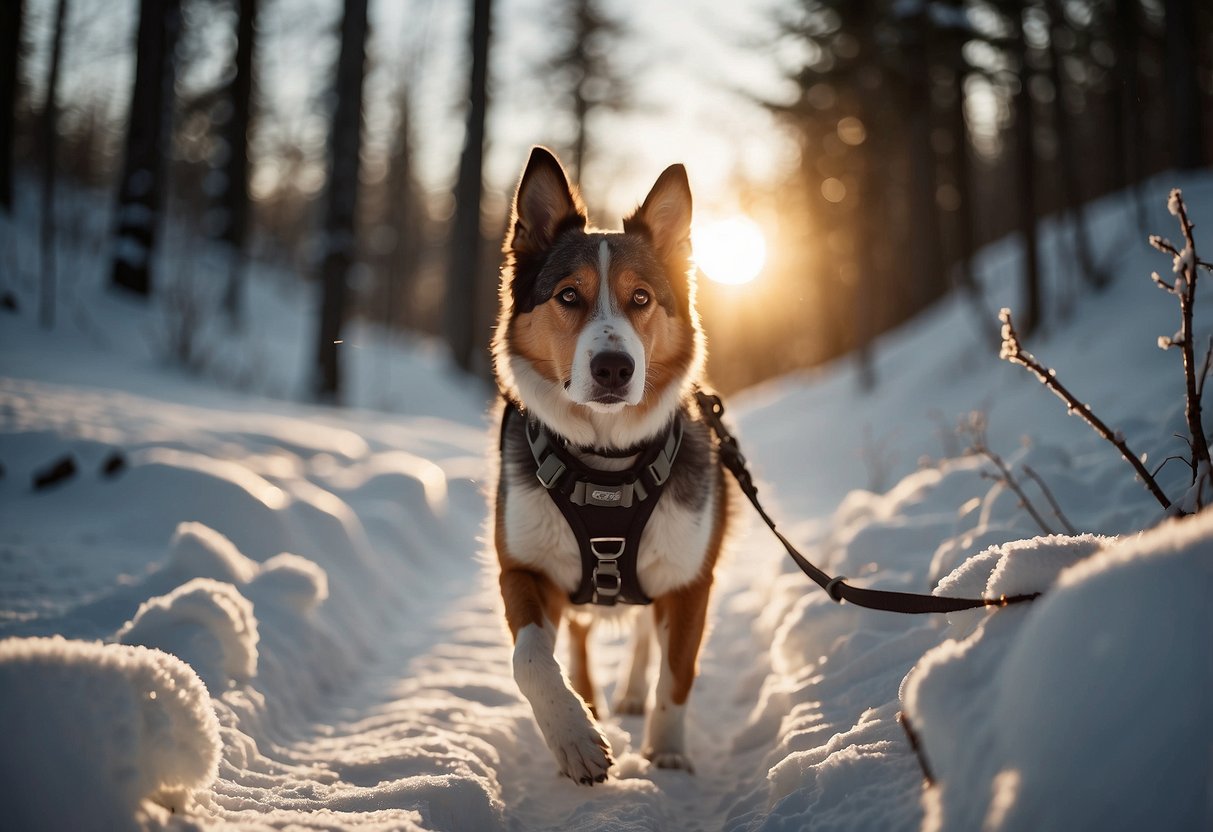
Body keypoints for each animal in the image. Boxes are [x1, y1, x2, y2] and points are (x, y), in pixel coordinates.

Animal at [490, 146, 727, 785]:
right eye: (569, 296)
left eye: (641, 298)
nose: (615, 368)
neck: (604, 462)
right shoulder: (522, 569)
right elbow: (530, 658)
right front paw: (574, 738)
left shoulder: (690, 582)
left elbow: (678, 673)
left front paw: (666, 753)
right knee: (575, 637)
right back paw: (592, 703)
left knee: (646, 636)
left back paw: (630, 695)